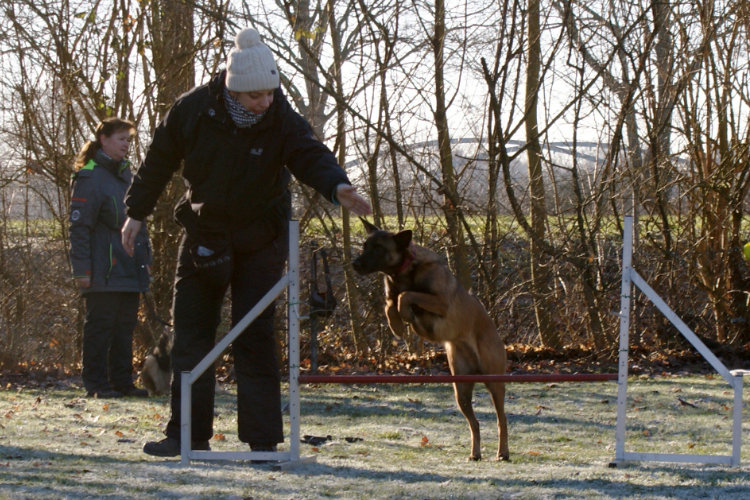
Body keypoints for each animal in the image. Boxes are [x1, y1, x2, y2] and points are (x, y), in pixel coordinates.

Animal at [354, 219, 512, 460]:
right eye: (365, 246)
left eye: (378, 249)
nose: (355, 264)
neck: (403, 272)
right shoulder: (392, 296)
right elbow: (390, 304)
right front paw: (397, 325)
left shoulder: (441, 303)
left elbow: (406, 295)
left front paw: (405, 315)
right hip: (461, 389)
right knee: (474, 423)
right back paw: (475, 453)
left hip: (494, 382)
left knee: (501, 420)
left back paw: (503, 452)